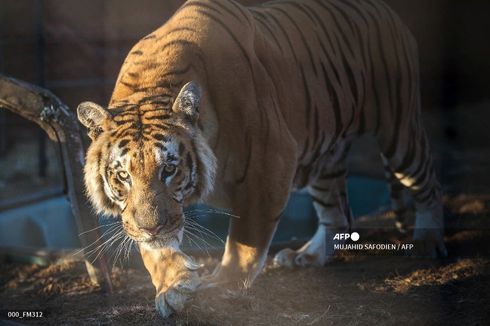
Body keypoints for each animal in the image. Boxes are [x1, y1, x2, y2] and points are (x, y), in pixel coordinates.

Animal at [77, 0, 448, 318]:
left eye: (169, 169)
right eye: (123, 176)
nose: (150, 227)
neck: (152, 83)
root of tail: (384, 9)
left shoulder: (271, 161)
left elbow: (245, 242)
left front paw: (221, 286)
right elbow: (154, 249)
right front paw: (174, 286)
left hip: (398, 130)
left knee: (428, 181)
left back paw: (427, 241)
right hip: (325, 159)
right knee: (338, 214)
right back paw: (306, 256)